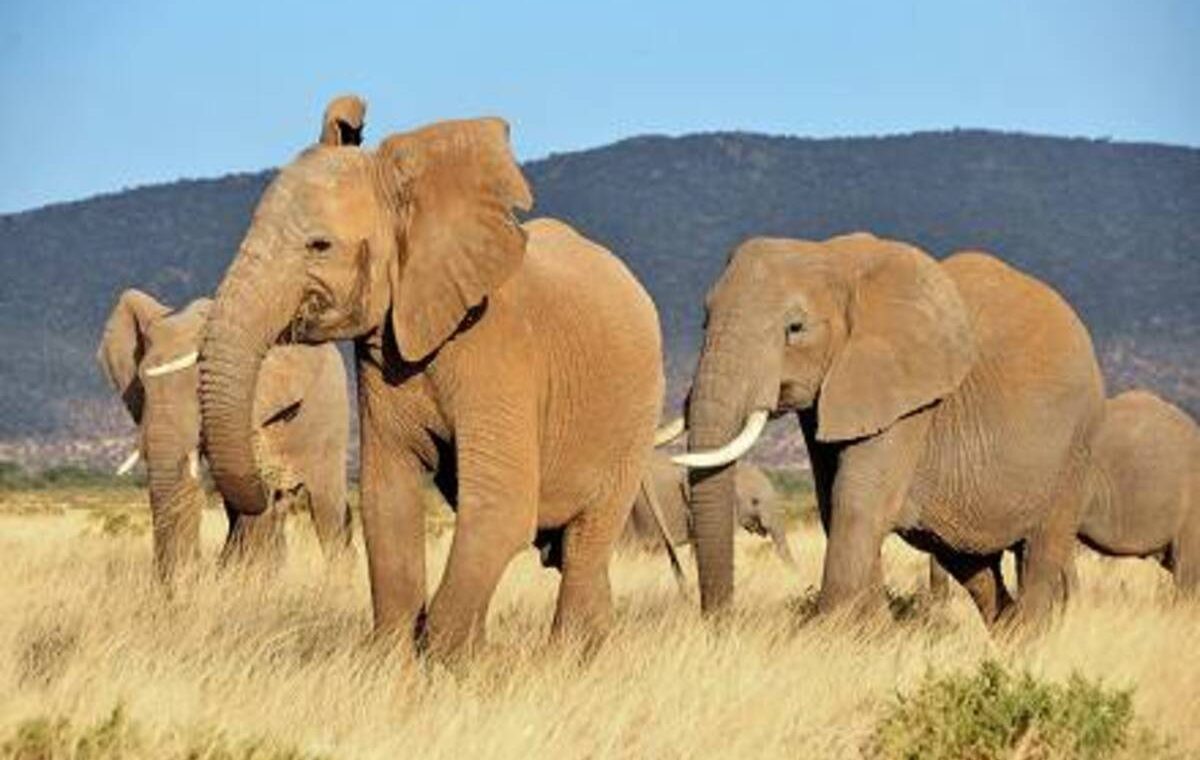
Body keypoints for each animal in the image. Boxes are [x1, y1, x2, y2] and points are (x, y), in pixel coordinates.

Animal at [197, 114, 665, 658]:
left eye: (320, 245)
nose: (272, 483)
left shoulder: (500, 350)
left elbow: (501, 507)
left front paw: (449, 661)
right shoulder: (382, 353)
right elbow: (388, 500)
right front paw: (392, 661)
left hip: (634, 422)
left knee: (587, 543)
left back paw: (566, 661)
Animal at [669, 233, 1104, 629]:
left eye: (795, 328)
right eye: (704, 319)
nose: (722, 624)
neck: (833, 255)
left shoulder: (908, 400)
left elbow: (857, 503)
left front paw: (829, 637)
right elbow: (833, 504)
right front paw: (875, 634)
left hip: (1077, 447)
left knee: (1040, 553)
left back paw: (1028, 641)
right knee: (971, 565)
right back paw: (1009, 633)